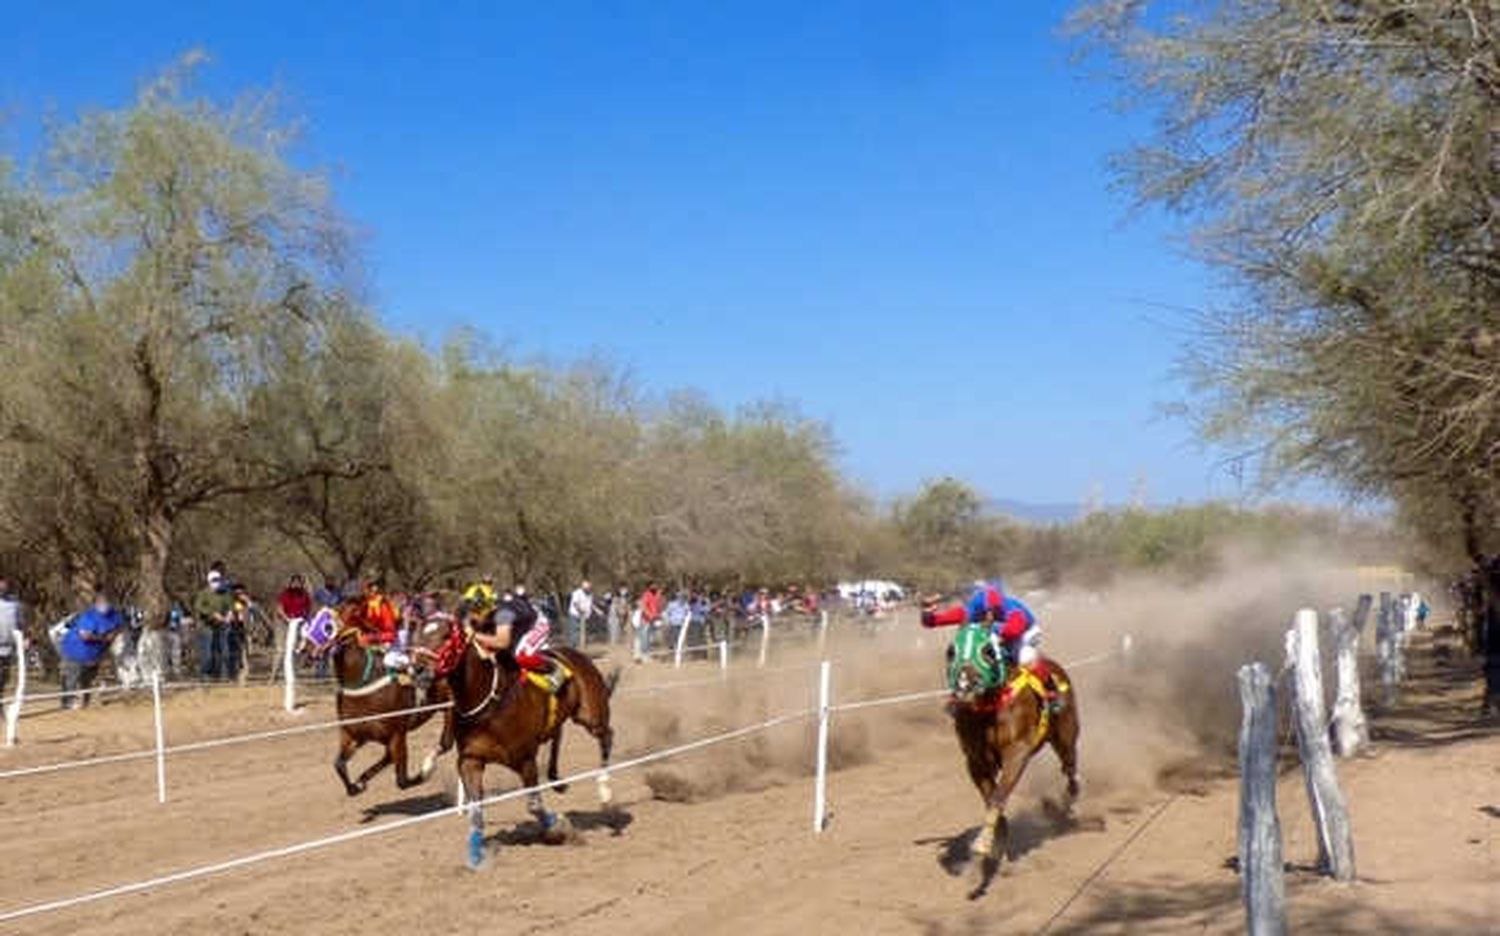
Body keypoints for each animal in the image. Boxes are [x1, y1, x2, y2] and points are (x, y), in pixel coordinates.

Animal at [309, 606, 456, 798]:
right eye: (311, 620)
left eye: (328, 627)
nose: (305, 648)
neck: (362, 685)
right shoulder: (353, 734)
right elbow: (339, 764)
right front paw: (356, 785)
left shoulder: (397, 735)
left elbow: (402, 781)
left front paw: (425, 773)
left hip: (449, 707)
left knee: (446, 743)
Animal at [411, 612, 621, 864]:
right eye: (418, 632)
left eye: (445, 636)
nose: (417, 669)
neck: (488, 702)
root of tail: (577, 654)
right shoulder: (471, 760)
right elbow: (476, 809)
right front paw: (475, 856)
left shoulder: (525, 760)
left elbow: (534, 806)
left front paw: (558, 829)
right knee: (558, 732)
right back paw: (557, 779)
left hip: (591, 716)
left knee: (606, 736)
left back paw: (605, 792)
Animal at [948, 651, 1080, 900]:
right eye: (952, 651)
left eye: (987, 652)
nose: (965, 684)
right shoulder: (975, 762)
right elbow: (993, 802)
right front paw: (992, 851)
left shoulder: (1016, 753)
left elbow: (998, 798)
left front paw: (982, 847)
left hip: (1065, 738)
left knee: (1071, 770)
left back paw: (1071, 806)